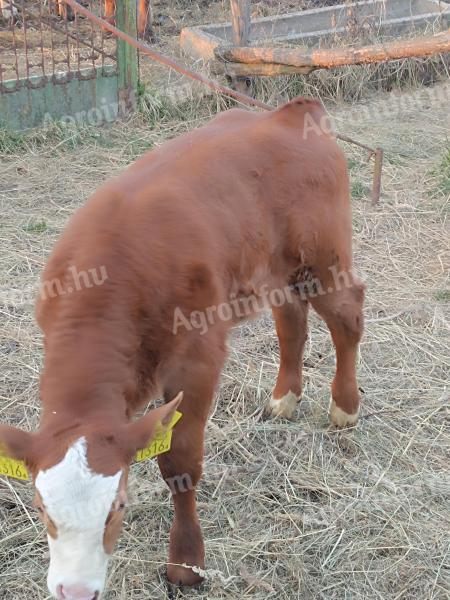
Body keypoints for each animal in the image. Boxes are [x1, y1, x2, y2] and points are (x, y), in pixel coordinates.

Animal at [0, 96, 364, 596]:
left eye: (117, 507)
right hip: (274, 268)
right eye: (40, 508)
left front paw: (186, 562)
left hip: (324, 258)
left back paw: (344, 407)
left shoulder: (197, 358)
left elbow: (180, 461)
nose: (74, 591)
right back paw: (283, 400)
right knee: (291, 320)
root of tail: (291, 113)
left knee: (348, 316)